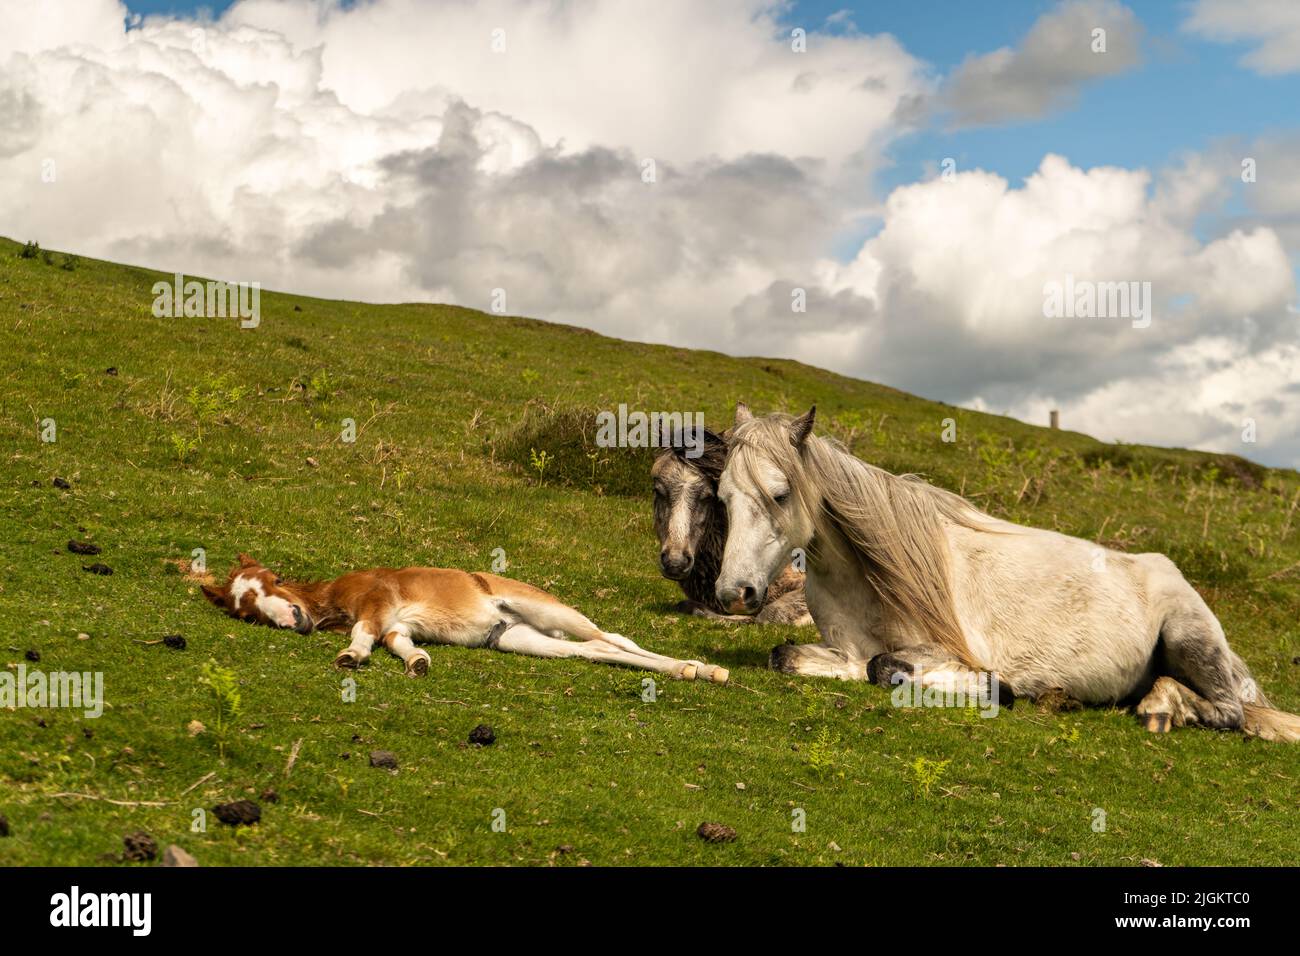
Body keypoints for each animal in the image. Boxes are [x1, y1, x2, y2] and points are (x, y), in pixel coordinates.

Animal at [713, 404, 1300, 741]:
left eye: (780, 494)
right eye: (722, 496)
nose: (733, 594)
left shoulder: (941, 649)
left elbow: (886, 666)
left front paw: (999, 689)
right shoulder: (842, 647)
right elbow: (794, 657)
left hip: (1188, 636)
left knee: (1229, 712)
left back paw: (1162, 709)